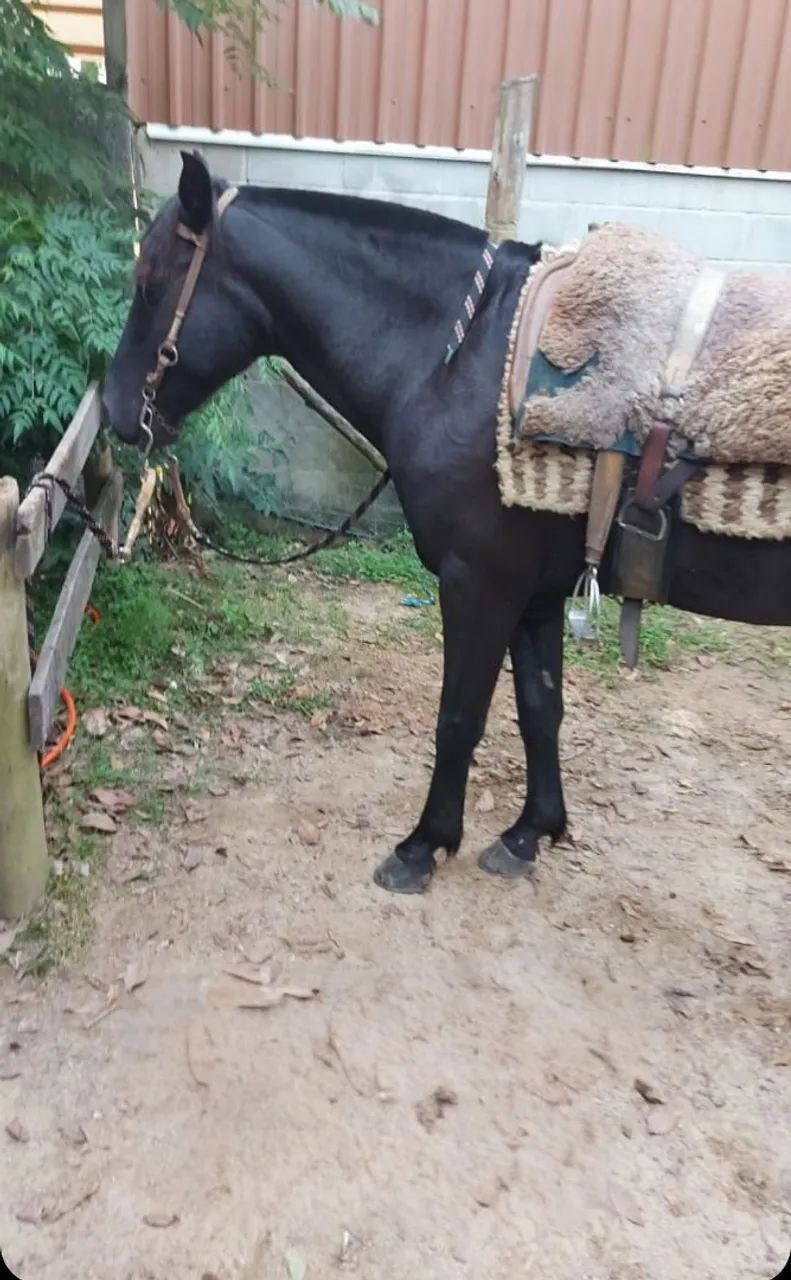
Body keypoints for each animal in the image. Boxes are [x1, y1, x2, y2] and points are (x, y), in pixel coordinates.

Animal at [103, 151, 791, 895]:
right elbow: (540, 711)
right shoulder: (535, 594)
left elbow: (459, 719)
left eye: (151, 283)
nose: (114, 409)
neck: (462, 359)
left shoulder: (478, 584)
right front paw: (528, 833)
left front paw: (423, 845)